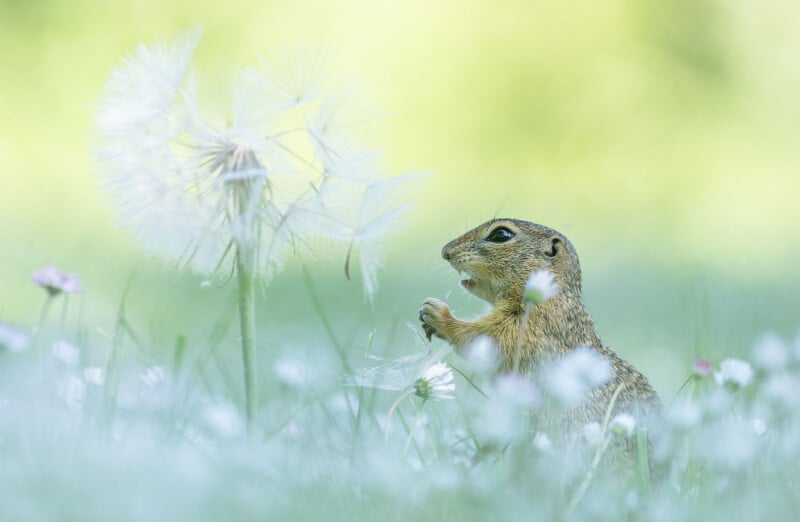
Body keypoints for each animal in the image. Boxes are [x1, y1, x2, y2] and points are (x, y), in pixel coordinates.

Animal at [418, 218, 661, 439]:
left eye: (501, 234)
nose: (445, 252)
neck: (549, 297)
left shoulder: (525, 328)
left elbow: (483, 339)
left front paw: (436, 313)